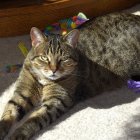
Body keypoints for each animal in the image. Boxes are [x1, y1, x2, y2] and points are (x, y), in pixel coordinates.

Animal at [0, 12, 140, 139]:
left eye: (63, 59)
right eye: (44, 58)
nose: (53, 70)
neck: (44, 79)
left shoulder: (56, 101)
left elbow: (33, 120)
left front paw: (17, 134)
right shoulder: (22, 93)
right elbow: (10, 110)